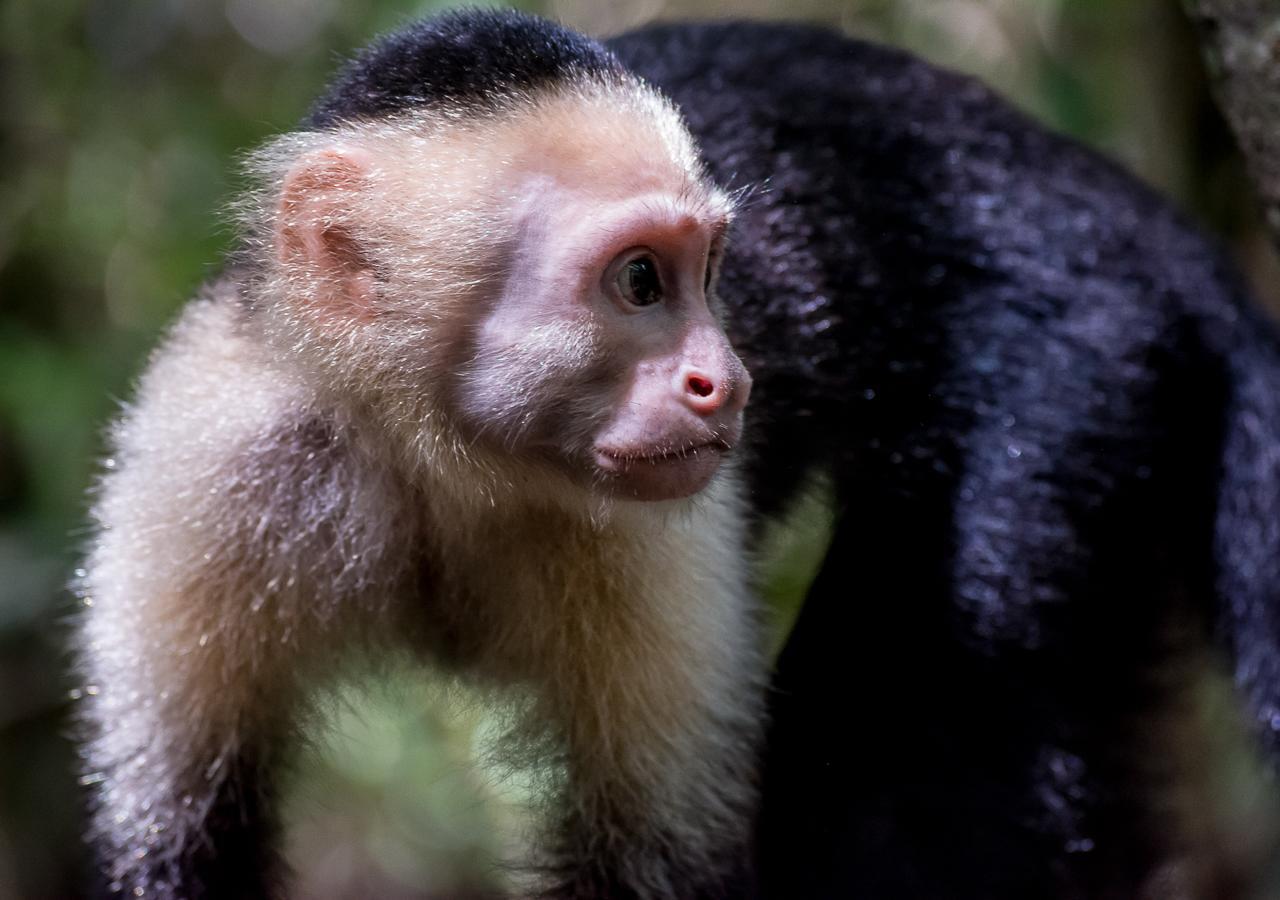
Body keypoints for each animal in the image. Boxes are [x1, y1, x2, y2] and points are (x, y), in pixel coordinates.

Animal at [77, 7, 1280, 900]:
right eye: (641, 282)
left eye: (713, 274)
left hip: (1083, 355)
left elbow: (660, 863)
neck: (439, 456)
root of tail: (1102, 195)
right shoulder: (205, 451)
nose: (728, 379)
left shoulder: (652, 547)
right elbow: (179, 841)